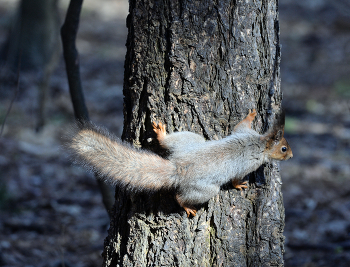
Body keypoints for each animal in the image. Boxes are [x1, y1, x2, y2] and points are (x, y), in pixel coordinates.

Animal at [66, 110, 292, 217]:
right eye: (283, 148)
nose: (290, 156)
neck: (260, 142)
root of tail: (178, 168)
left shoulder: (244, 132)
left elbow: (239, 125)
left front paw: (251, 115)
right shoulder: (250, 163)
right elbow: (237, 178)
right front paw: (240, 185)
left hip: (190, 141)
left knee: (170, 142)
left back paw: (161, 135)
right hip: (204, 189)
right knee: (180, 196)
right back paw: (186, 206)